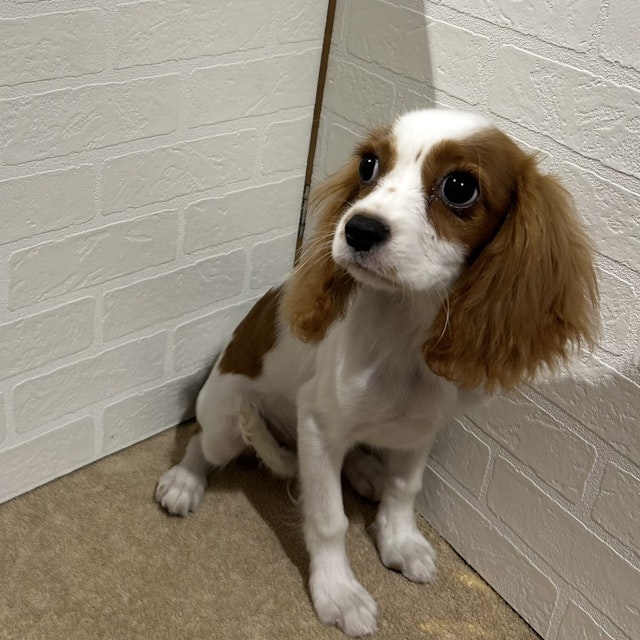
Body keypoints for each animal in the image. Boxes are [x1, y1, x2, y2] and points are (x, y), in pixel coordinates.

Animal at [156, 109, 598, 636]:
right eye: (368, 165)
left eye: (460, 187)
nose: (358, 230)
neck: (403, 330)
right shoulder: (318, 424)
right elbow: (329, 519)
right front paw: (338, 592)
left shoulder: (422, 428)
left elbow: (405, 489)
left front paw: (399, 540)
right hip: (227, 419)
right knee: (203, 443)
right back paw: (185, 480)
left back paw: (366, 469)